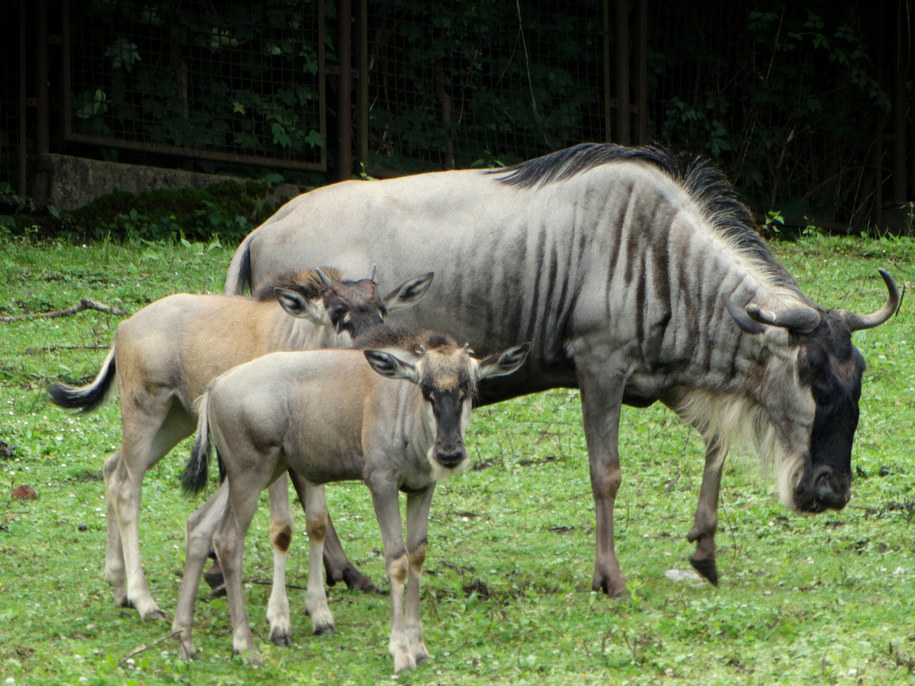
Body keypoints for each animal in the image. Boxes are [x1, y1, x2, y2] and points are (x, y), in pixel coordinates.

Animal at [174, 328, 528, 672]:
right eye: (426, 389)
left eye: (468, 387)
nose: (449, 452)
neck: (404, 406)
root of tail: (216, 386)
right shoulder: (382, 485)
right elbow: (396, 561)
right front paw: (400, 652)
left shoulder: (421, 489)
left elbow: (416, 556)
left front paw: (419, 648)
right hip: (250, 475)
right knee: (228, 540)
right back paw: (246, 647)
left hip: (261, 473)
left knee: (199, 524)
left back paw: (184, 639)